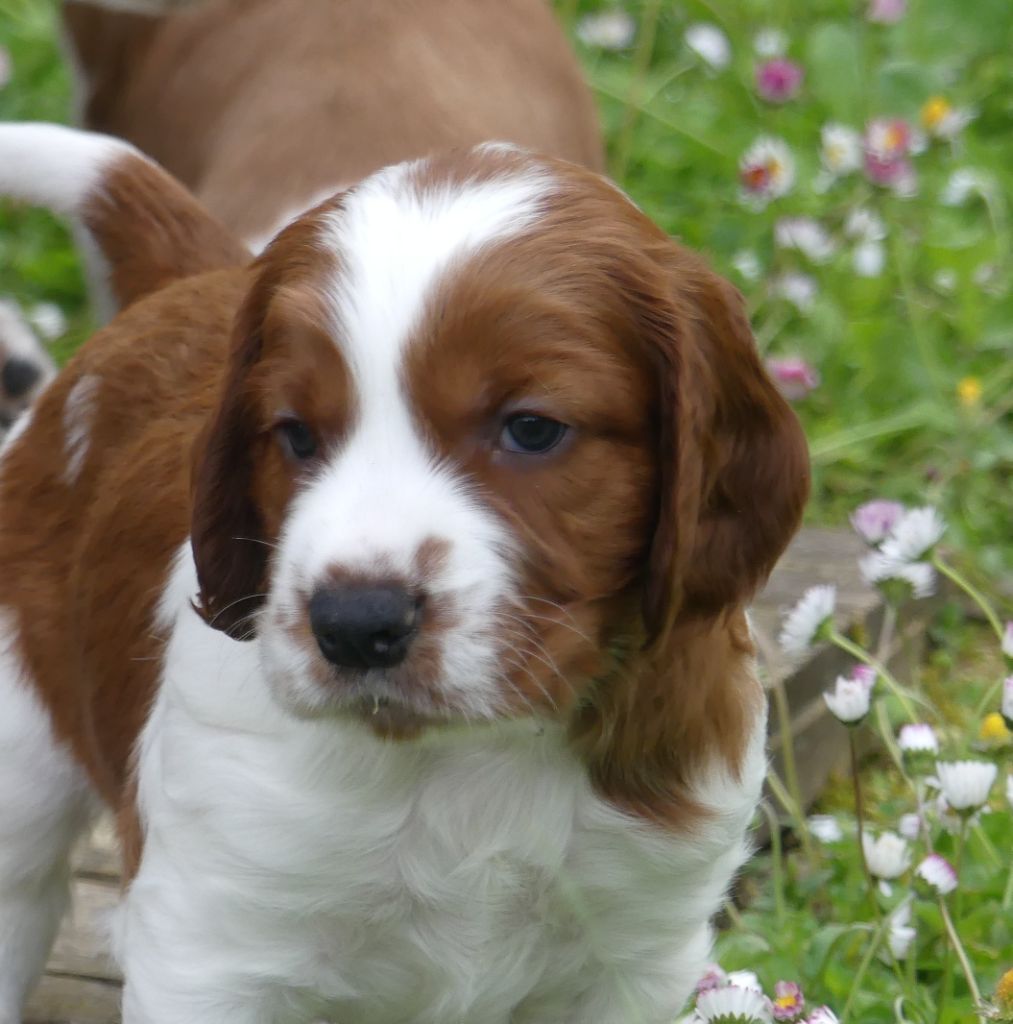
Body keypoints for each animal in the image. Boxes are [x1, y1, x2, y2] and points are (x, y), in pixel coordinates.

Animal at [0, 121, 807, 1024]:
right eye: (295, 434)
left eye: (531, 429)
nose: (354, 625)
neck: (471, 755)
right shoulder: (213, 945)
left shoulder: (634, 952)